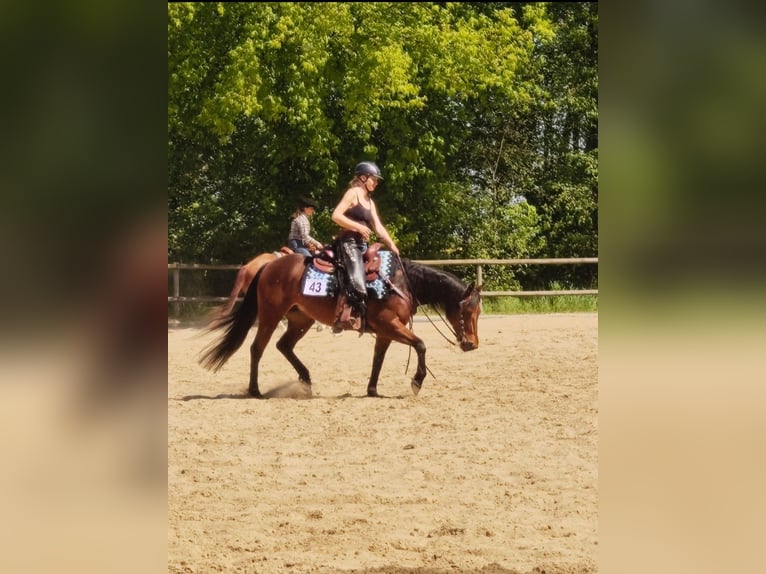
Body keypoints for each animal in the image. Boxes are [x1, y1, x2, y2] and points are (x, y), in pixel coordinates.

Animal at [199, 252, 482, 397]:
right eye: (468, 310)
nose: (473, 344)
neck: (401, 283)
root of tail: (268, 265)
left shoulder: (386, 331)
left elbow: (378, 359)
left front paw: (372, 389)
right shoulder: (389, 324)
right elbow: (421, 345)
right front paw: (417, 382)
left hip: (301, 319)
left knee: (284, 346)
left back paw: (305, 380)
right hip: (270, 315)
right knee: (257, 348)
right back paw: (255, 390)